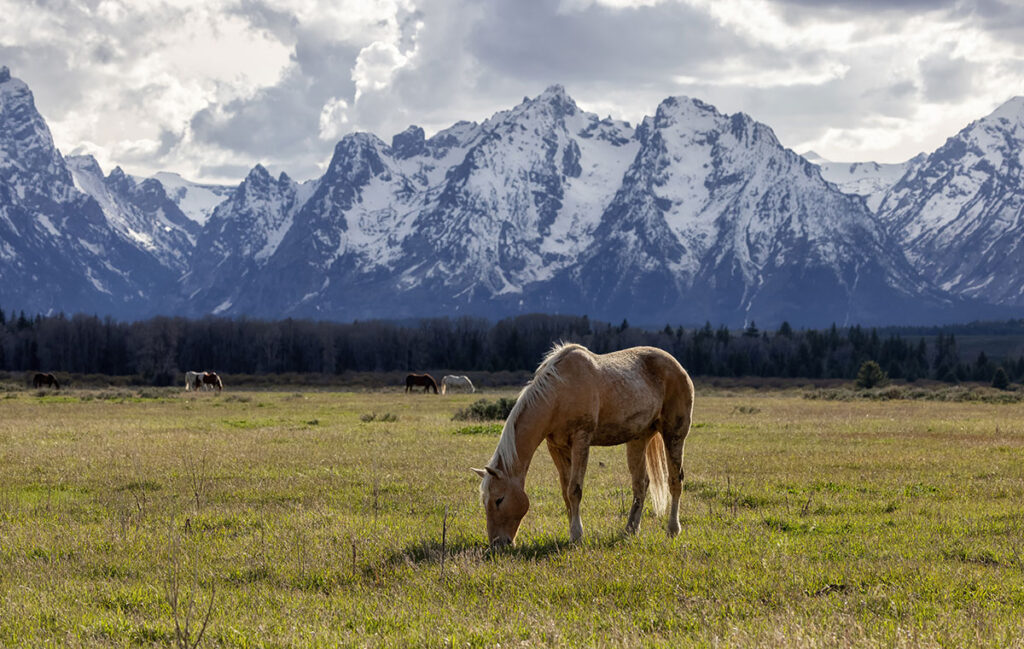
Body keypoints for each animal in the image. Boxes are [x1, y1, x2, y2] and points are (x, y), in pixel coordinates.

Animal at [471, 343, 696, 544]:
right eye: (484, 501)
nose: (497, 543)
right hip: (638, 439)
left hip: (674, 434)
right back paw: (630, 530)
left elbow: (575, 489)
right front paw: (572, 532)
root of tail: (679, 368)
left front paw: (577, 535)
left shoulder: (581, 440)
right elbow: (565, 491)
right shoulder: (556, 447)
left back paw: (672, 529)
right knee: (640, 484)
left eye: (499, 499)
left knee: (675, 481)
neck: (559, 393)